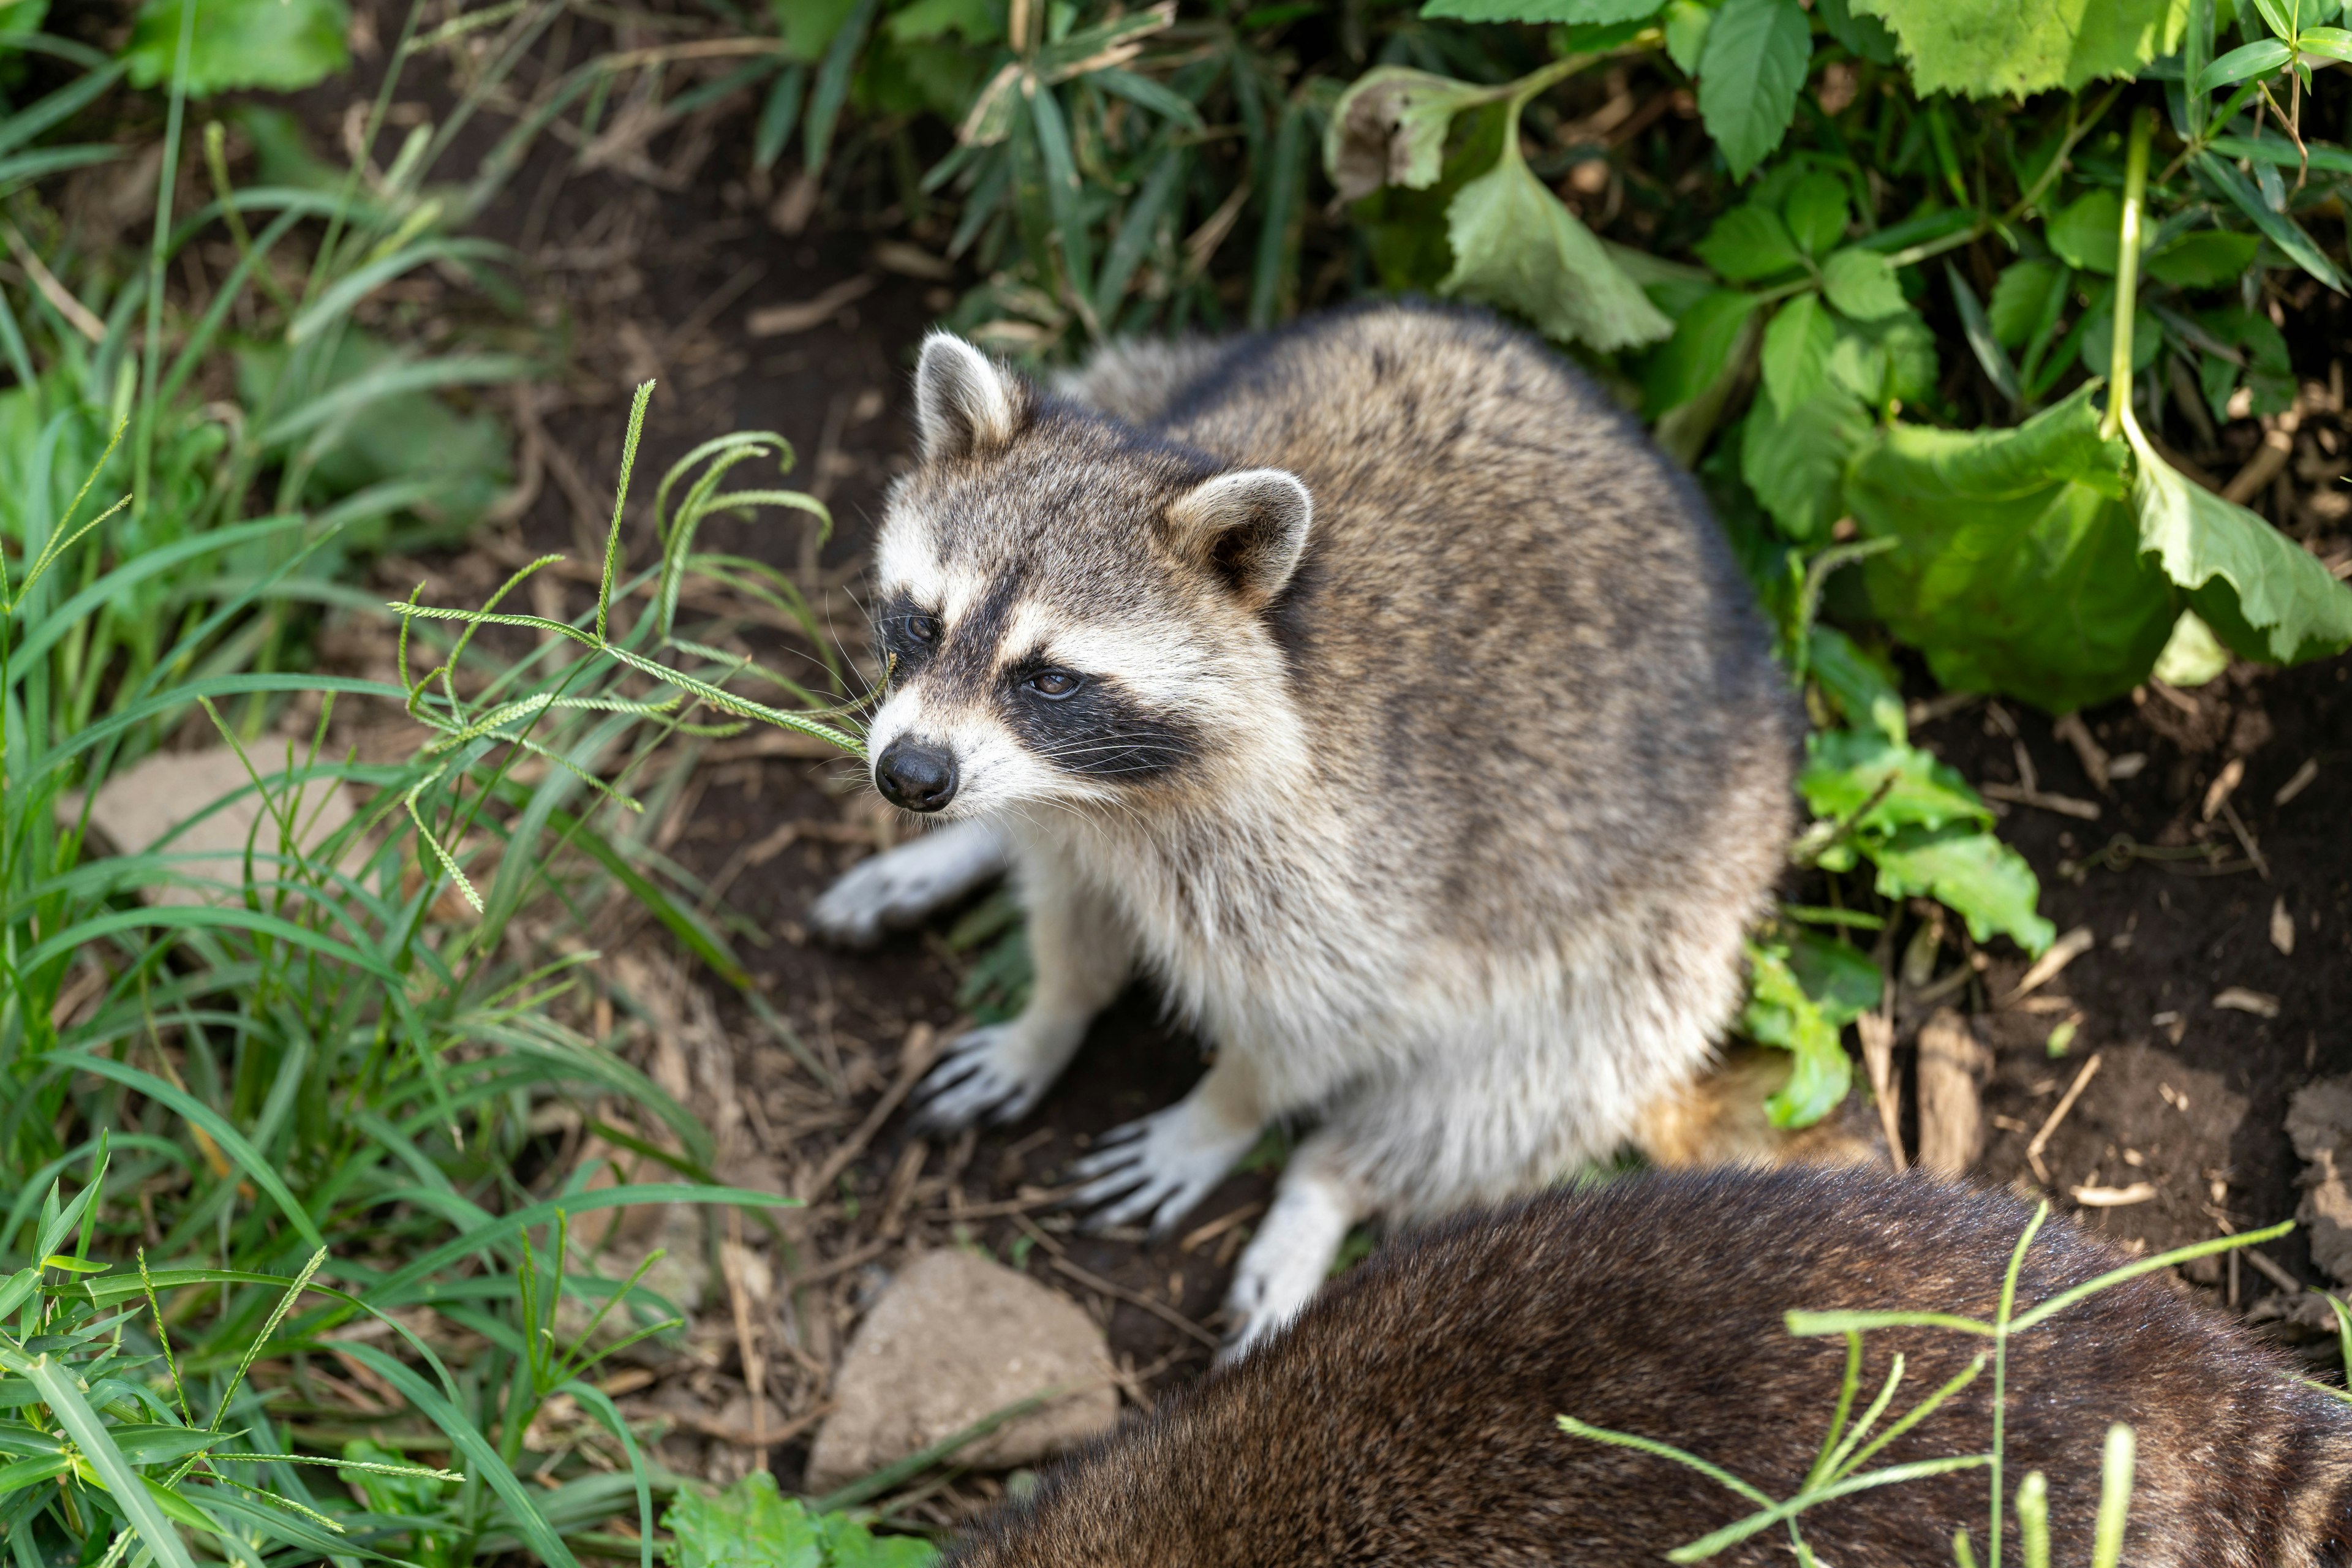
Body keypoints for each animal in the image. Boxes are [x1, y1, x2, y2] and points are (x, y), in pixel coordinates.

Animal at [818, 303, 1787, 1354]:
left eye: (1052, 678)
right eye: (924, 623)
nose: (912, 777)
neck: (1104, 796)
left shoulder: (1370, 857)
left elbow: (1324, 1020)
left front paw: (1220, 1116)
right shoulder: (1069, 819)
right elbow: (1070, 912)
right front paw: (1050, 1017)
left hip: (1665, 928)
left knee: (1530, 1087)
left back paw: (1327, 1186)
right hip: (1158, 370)